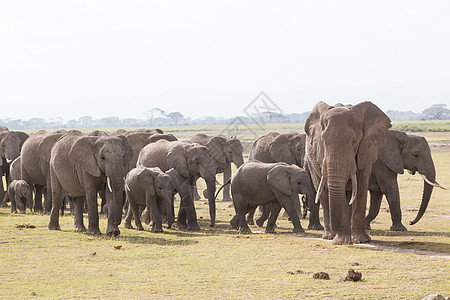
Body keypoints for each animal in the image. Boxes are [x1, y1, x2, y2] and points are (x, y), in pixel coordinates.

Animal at [304, 101, 392, 244]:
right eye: (324, 142)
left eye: (354, 142)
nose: (337, 230)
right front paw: (342, 241)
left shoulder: (366, 150)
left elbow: (361, 189)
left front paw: (362, 241)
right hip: (311, 162)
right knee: (323, 194)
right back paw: (329, 236)